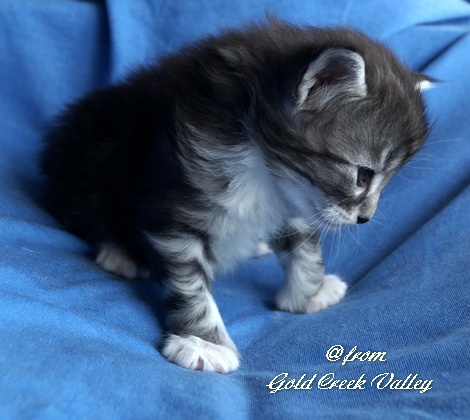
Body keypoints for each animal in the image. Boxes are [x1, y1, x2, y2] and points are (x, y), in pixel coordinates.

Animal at [40, 19, 432, 373]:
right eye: (363, 175)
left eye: (385, 181)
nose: (366, 218)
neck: (261, 164)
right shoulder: (178, 206)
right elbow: (189, 282)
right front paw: (203, 343)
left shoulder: (294, 199)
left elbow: (306, 246)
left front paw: (311, 294)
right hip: (88, 160)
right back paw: (119, 253)